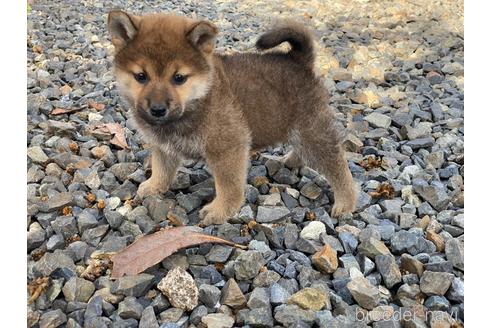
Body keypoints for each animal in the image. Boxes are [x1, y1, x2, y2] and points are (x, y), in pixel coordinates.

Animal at [106, 10, 358, 226]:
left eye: (179, 78)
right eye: (141, 76)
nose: (158, 109)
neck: (199, 100)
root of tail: (298, 60)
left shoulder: (228, 147)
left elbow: (228, 185)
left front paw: (220, 210)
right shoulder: (163, 147)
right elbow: (162, 170)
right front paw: (153, 187)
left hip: (312, 130)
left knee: (337, 166)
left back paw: (346, 202)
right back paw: (291, 160)